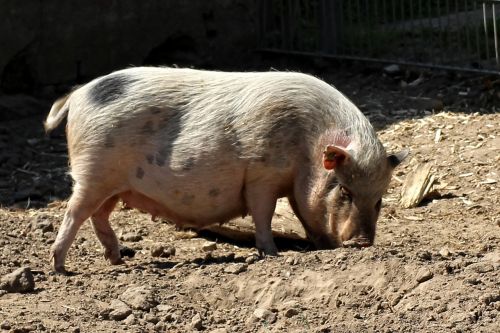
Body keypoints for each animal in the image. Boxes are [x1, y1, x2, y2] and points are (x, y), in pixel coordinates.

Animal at [45, 66, 408, 272]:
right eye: (345, 190)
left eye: (379, 200)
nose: (361, 243)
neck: (306, 147)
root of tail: (78, 95)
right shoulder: (262, 175)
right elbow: (263, 213)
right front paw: (272, 254)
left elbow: (301, 212)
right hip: (93, 170)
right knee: (75, 212)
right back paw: (60, 267)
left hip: (113, 184)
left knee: (99, 215)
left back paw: (117, 259)